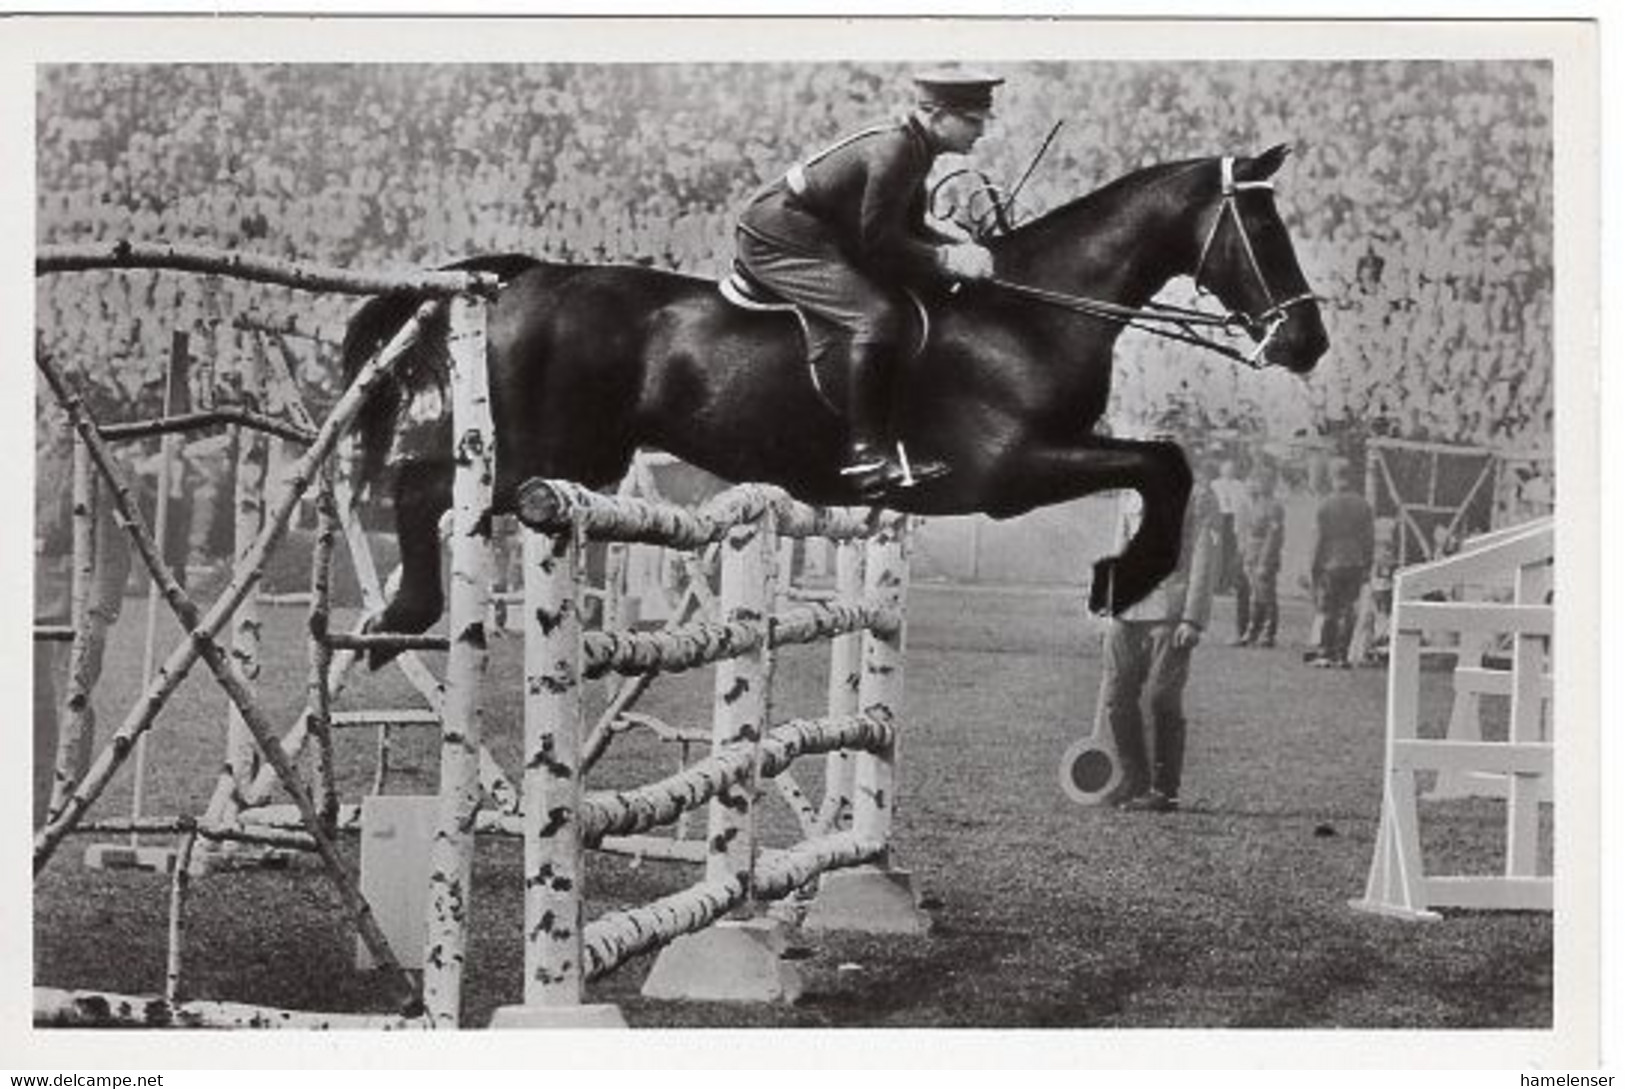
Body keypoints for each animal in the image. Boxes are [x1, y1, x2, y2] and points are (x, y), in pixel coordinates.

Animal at [346, 140, 1332, 659]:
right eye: (1262, 226)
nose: (1306, 342)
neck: (1033, 309)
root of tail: (527, 276)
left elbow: (1164, 463)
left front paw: (1122, 575)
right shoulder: (1007, 472)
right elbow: (1162, 466)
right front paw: (1122, 576)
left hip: (578, 459)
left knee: (433, 491)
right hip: (542, 452)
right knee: (420, 488)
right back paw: (401, 616)